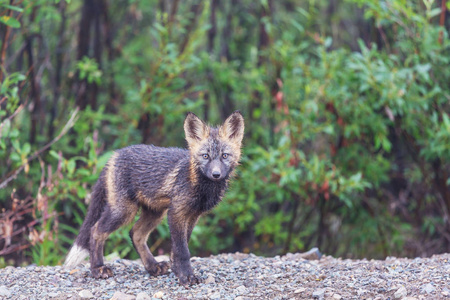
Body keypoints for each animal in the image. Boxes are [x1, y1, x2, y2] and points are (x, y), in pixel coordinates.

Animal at [64, 111, 243, 284]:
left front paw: (177, 270)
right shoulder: (176, 213)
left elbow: (178, 248)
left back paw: (152, 266)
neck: (199, 186)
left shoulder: (193, 215)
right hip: (124, 212)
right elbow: (182, 251)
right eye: (205, 156)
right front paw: (186, 277)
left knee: (135, 234)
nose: (216, 174)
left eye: (225, 156)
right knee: (95, 230)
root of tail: (115, 155)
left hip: (155, 213)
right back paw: (97, 268)